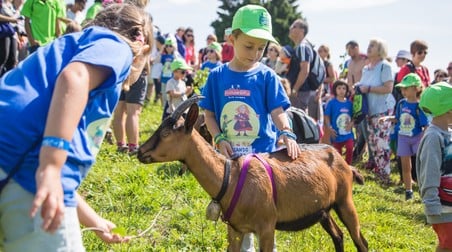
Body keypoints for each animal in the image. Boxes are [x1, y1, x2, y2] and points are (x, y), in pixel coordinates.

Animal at [139, 97, 370, 252]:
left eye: (166, 133)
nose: (140, 152)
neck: (229, 177)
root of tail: (344, 163)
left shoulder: (267, 228)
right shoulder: (235, 229)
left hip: (345, 201)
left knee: (360, 241)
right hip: (323, 210)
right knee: (338, 236)